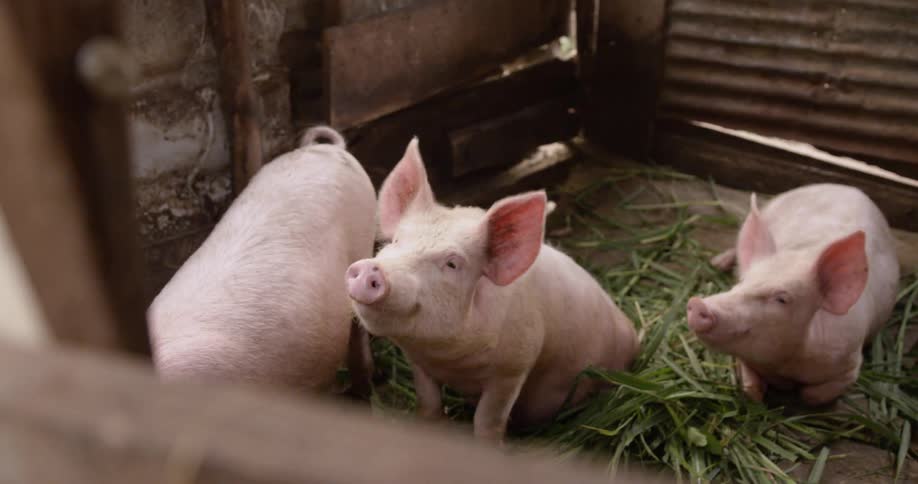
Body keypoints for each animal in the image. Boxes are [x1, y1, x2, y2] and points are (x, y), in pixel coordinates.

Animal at [346, 138, 639, 442]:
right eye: (396, 241)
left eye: (452, 263)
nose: (371, 269)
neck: (447, 359)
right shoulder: (418, 362)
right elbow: (429, 406)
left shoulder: (512, 367)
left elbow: (487, 421)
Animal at [686, 184, 899, 405]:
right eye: (742, 282)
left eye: (782, 299)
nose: (698, 303)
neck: (785, 363)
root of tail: (846, 187)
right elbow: (750, 388)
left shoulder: (849, 364)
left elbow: (813, 396)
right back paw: (716, 263)